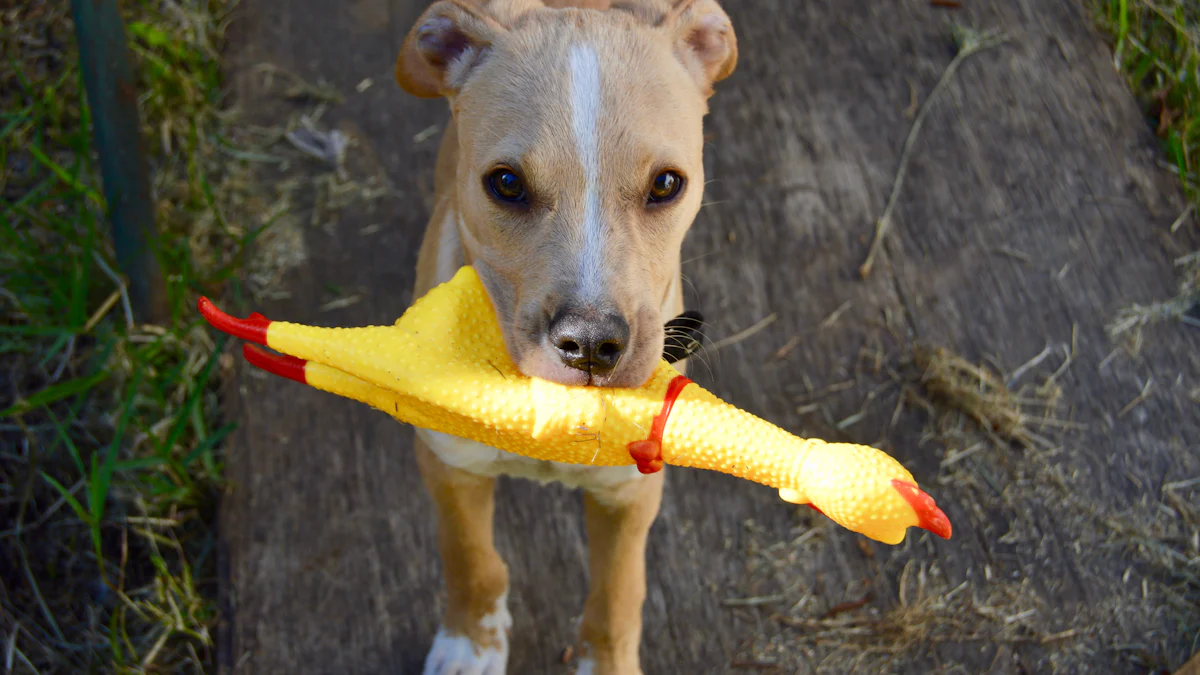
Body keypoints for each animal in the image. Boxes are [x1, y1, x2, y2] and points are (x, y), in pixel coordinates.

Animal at [396, 2, 729, 667]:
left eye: (666, 185)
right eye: (505, 184)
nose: (592, 345)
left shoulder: (628, 493)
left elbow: (619, 593)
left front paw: (606, 663)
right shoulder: (448, 465)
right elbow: (471, 560)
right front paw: (470, 644)